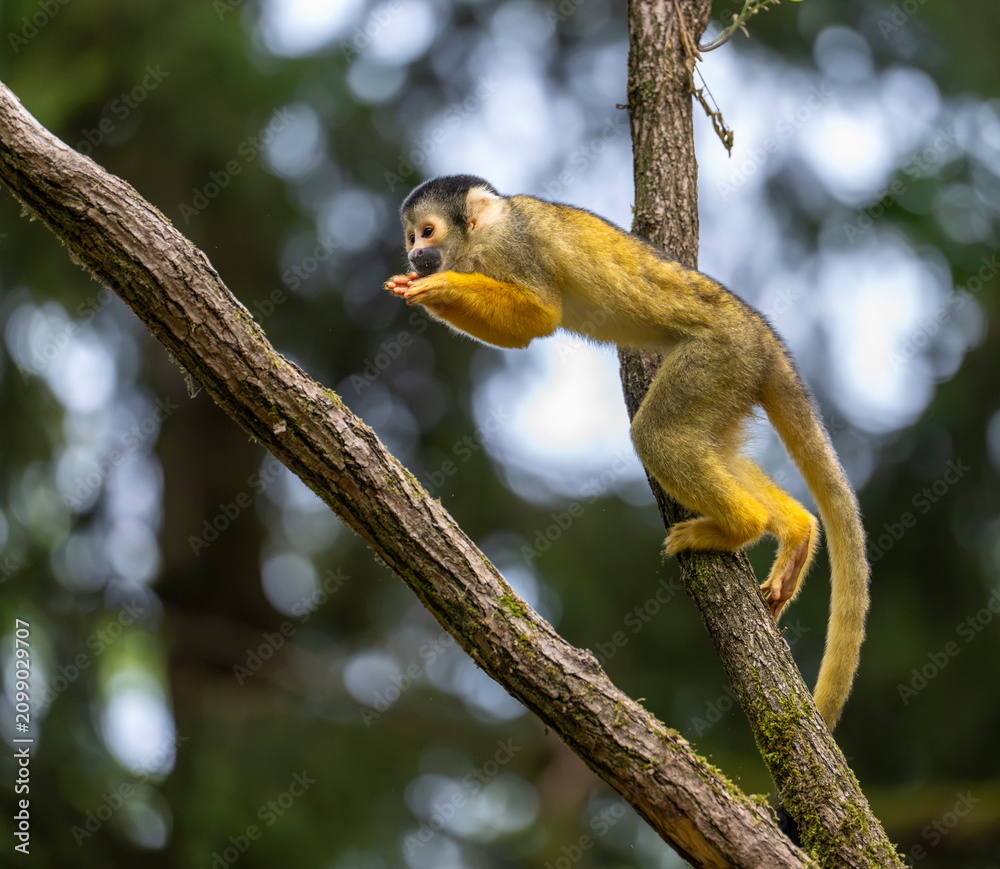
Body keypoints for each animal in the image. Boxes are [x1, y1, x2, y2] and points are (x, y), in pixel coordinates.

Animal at [384, 174, 870, 731]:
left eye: (426, 231)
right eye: (410, 238)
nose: (415, 254)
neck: (482, 240)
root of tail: (765, 338)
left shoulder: (514, 247)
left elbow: (541, 316)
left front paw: (437, 289)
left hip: (718, 355)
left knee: (656, 435)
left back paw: (739, 526)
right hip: (733, 376)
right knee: (710, 446)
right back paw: (797, 529)